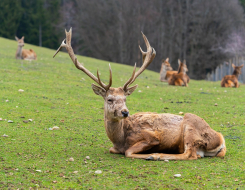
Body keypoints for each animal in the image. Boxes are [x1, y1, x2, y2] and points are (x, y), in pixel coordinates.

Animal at [53, 28, 226, 160]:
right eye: (109, 99)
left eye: (125, 98)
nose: (125, 112)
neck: (120, 138)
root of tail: (221, 140)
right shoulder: (115, 147)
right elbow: (113, 149)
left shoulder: (151, 137)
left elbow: (129, 152)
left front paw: (149, 154)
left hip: (191, 127)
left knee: (190, 154)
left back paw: (156, 155)